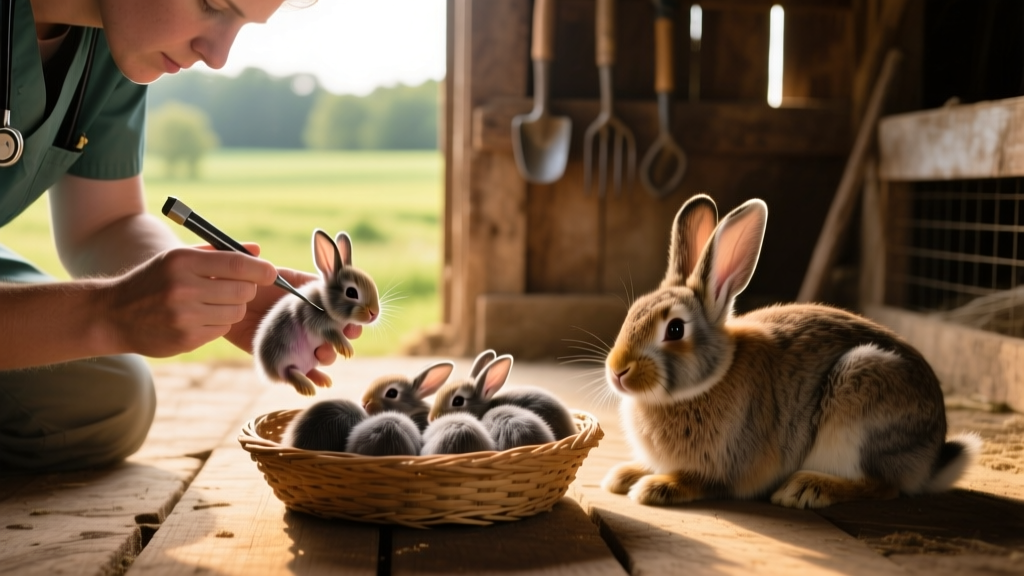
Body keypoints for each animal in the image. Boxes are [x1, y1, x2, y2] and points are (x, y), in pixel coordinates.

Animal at [253, 229, 380, 396]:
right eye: (351, 292)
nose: (374, 313)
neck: (325, 304)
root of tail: (268, 372)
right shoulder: (316, 321)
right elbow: (332, 333)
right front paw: (347, 350)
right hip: (282, 357)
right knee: (289, 372)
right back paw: (306, 387)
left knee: (306, 371)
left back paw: (323, 380)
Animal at [601, 193, 982, 510]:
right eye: (632, 312)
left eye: (676, 329)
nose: (617, 371)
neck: (708, 381)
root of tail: (931, 459)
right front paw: (623, 475)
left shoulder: (727, 465)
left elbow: (701, 481)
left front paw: (654, 487)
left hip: (860, 405)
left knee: (882, 486)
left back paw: (806, 489)